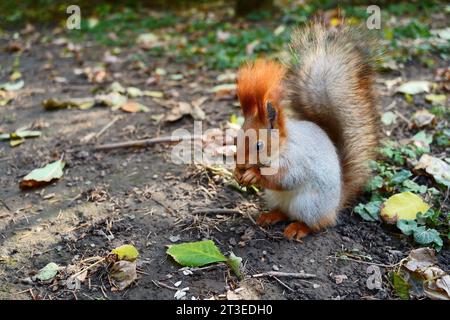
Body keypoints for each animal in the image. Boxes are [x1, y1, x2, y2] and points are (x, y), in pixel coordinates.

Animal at [234, 23, 382, 240]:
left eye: (259, 145)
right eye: (235, 139)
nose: (240, 164)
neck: (282, 145)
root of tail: (335, 206)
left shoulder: (297, 159)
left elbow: (285, 178)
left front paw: (254, 174)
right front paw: (237, 173)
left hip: (310, 205)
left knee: (316, 223)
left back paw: (298, 228)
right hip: (276, 198)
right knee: (284, 212)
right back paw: (270, 216)